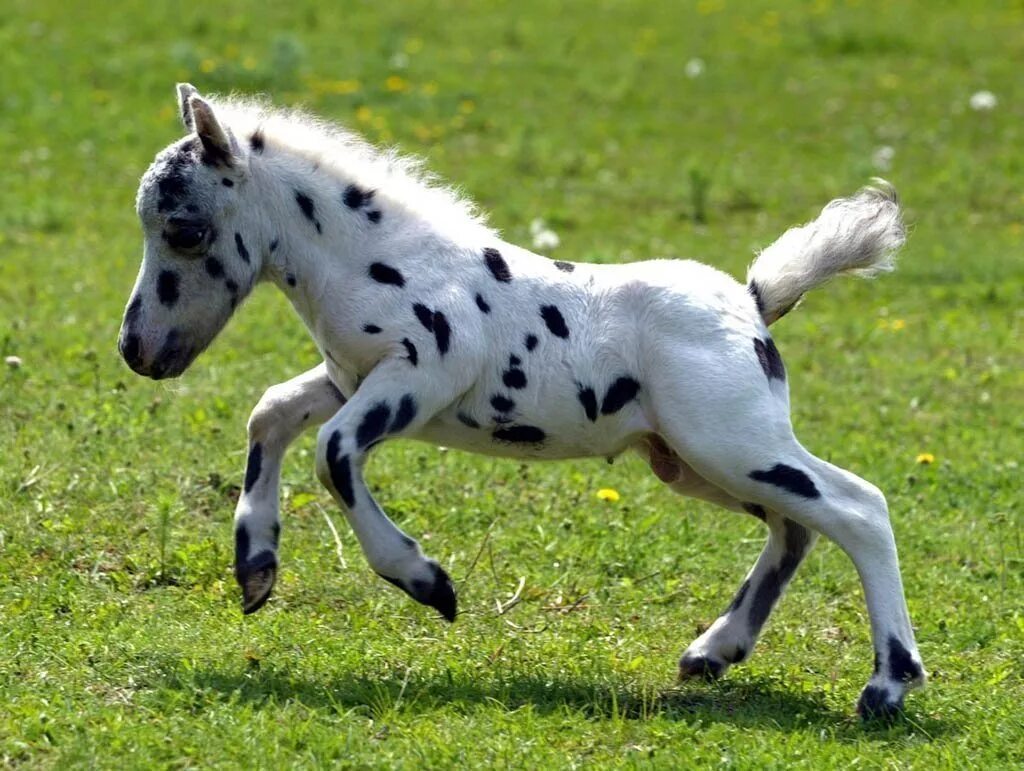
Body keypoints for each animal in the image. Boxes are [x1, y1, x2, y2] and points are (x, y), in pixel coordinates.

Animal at [117, 83, 929, 716]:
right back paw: (713, 650)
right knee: (796, 528)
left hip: (733, 443)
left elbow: (333, 451)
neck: (385, 261)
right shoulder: (346, 378)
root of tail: (754, 304)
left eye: (184, 229)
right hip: (690, 460)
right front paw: (255, 565)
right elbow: (272, 412)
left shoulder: (417, 377)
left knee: (858, 507)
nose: (137, 349)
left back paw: (888, 685)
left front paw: (428, 582)